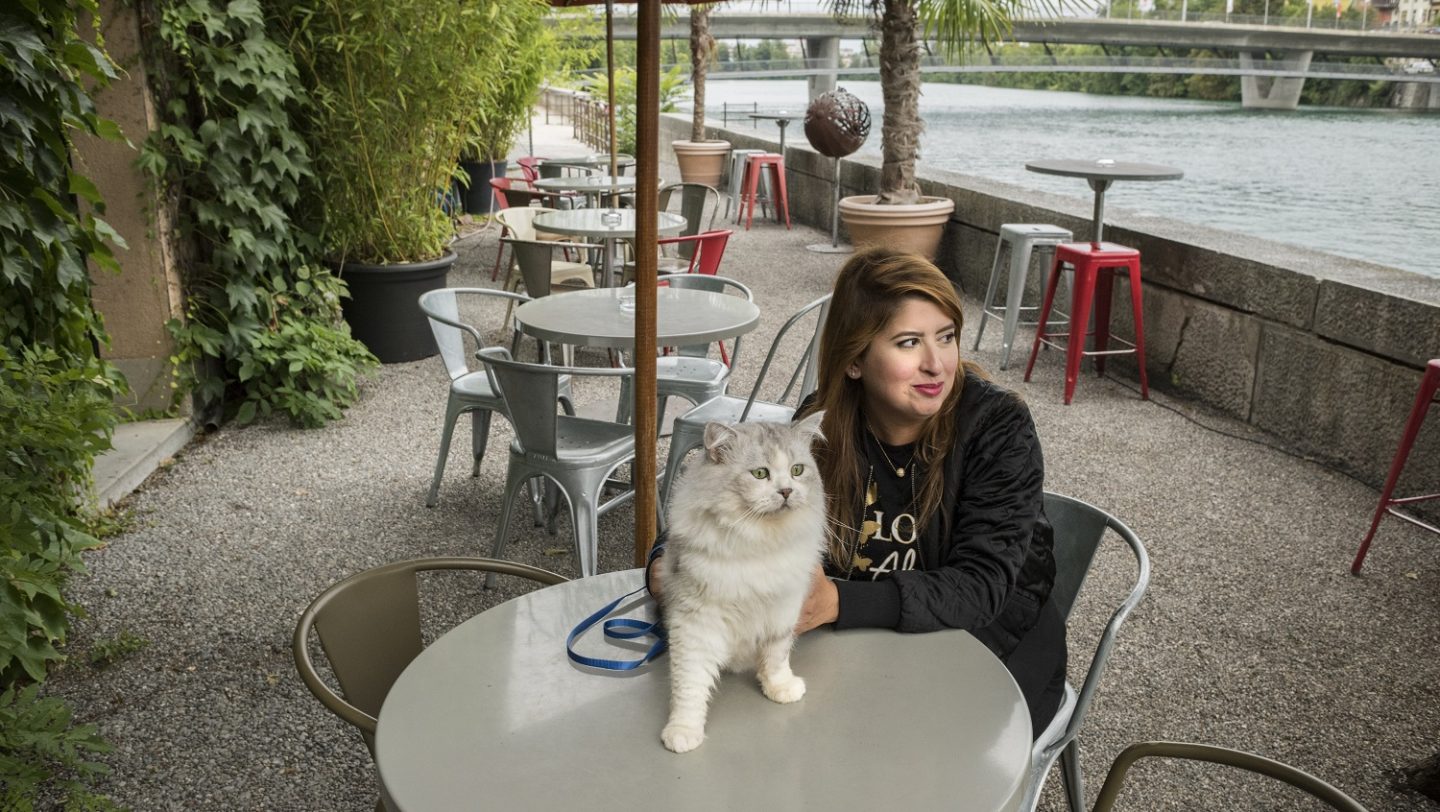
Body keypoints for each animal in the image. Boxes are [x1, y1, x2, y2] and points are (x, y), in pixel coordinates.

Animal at [659, 411, 829, 754]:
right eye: (760, 474)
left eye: (797, 470)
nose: (786, 492)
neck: (760, 542)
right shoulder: (696, 622)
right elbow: (690, 683)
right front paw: (683, 731)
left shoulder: (783, 610)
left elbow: (776, 657)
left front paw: (780, 688)